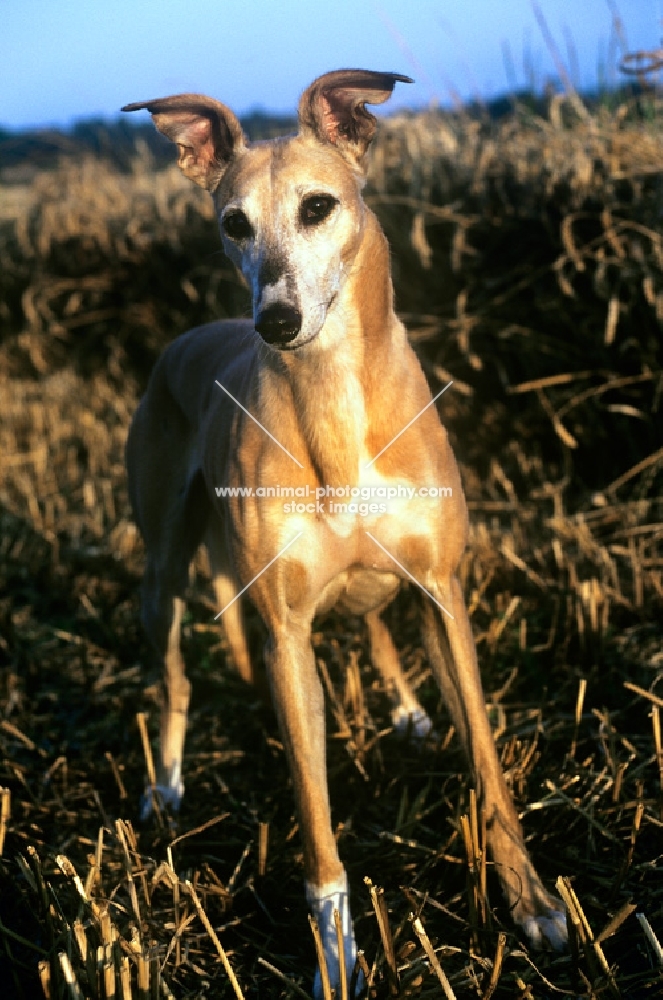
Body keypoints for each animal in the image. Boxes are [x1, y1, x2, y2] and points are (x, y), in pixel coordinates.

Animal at [123, 68, 564, 992]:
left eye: (318, 205)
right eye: (233, 222)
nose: (276, 322)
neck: (332, 400)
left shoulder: (443, 594)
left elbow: (487, 762)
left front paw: (533, 902)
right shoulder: (287, 633)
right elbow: (317, 823)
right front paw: (335, 955)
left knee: (370, 622)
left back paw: (405, 708)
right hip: (162, 572)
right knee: (173, 676)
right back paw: (167, 784)